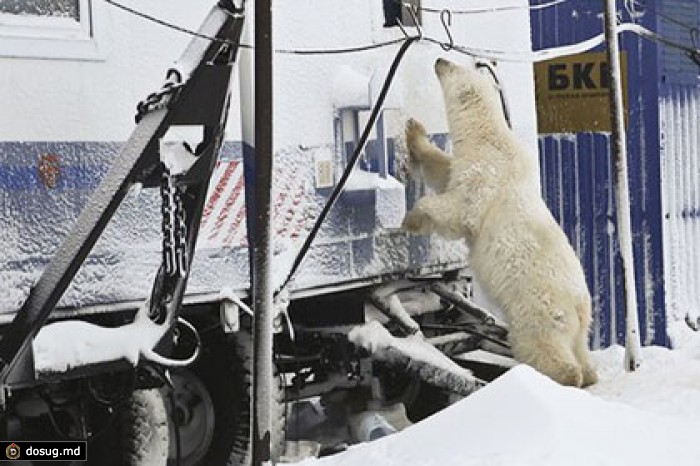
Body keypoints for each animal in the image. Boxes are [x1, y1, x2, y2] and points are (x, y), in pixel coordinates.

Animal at [404, 57, 596, 386]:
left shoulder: (486, 174)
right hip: (572, 323)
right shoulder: (467, 163)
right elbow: (443, 170)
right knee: (580, 349)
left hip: (537, 306)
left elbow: (460, 210)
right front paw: (414, 132)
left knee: (542, 343)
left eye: (454, 67)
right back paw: (589, 372)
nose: (439, 59)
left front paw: (411, 219)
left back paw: (561, 375)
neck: (489, 137)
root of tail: (579, 308)